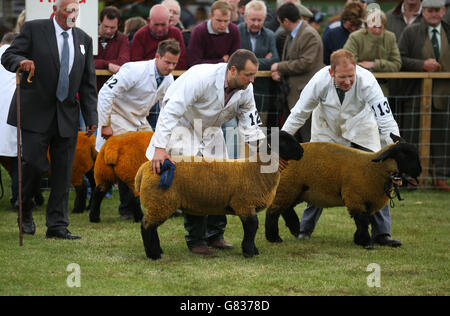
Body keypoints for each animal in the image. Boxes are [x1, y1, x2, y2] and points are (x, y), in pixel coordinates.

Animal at [134, 130, 302, 260]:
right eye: (284, 142)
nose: (302, 152)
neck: (256, 169)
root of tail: (144, 168)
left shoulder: (247, 206)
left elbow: (251, 229)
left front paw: (252, 250)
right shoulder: (244, 204)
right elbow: (252, 227)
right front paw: (249, 252)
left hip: (158, 202)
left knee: (151, 226)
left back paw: (157, 251)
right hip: (161, 201)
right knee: (146, 226)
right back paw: (153, 255)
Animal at [264, 136, 422, 249]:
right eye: (404, 154)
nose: (419, 171)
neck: (374, 169)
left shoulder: (368, 201)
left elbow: (365, 220)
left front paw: (359, 239)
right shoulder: (355, 197)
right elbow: (362, 221)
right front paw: (366, 242)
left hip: (295, 190)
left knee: (285, 209)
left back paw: (294, 228)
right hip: (288, 187)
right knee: (273, 212)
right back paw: (274, 237)